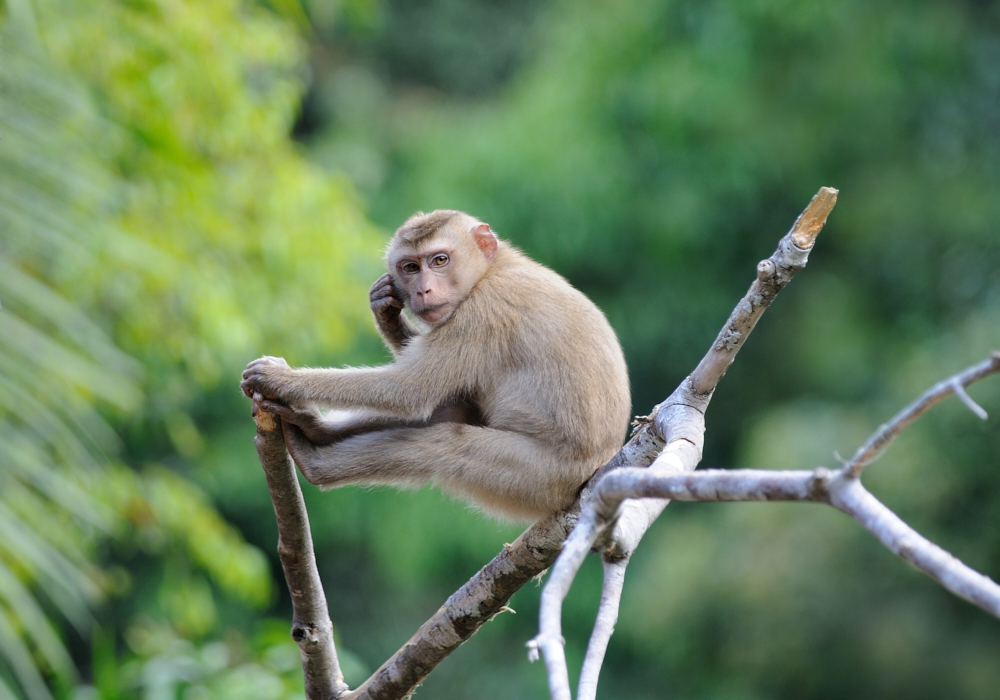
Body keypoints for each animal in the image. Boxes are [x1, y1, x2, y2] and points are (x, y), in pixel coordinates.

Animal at [242, 208, 628, 520]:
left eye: (439, 260)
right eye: (411, 267)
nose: (423, 290)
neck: (493, 268)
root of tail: (593, 471)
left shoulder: (484, 310)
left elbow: (412, 389)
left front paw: (278, 377)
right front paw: (386, 313)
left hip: (539, 480)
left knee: (444, 444)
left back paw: (316, 464)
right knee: (453, 409)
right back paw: (314, 428)